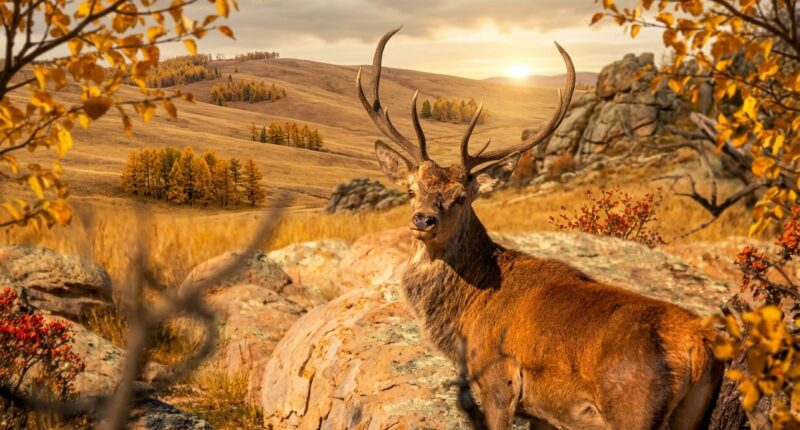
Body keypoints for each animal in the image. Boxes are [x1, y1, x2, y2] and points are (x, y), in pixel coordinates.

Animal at [356, 28, 724, 430]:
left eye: (460, 197)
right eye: (411, 190)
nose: (423, 219)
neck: (465, 316)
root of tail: (700, 345)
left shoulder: (498, 380)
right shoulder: (545, 410)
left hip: (633, 408)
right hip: (692, 414)